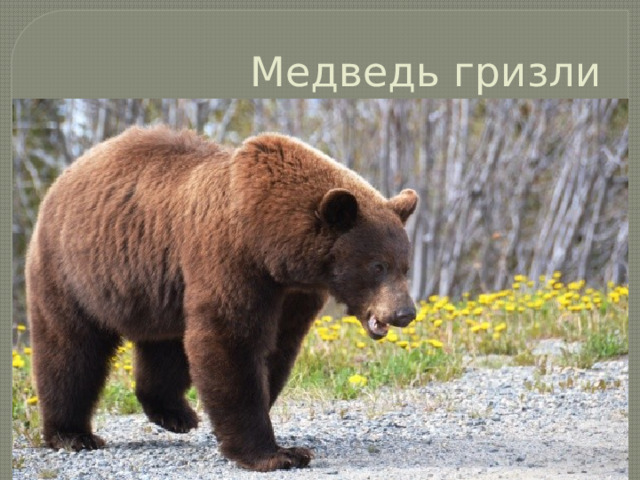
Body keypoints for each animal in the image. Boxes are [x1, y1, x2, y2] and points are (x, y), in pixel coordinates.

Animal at [25, 126, 418, 471]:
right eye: (377, 266)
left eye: (405, 266)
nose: (405, 312)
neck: (273, 246)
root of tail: (65, 176)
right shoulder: (231, 260)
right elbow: (231, 342)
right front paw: (277, 454)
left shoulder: (295, 293)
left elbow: (276, 349)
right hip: (72, 271)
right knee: (71, 348)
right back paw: (73, 434)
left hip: (158, 285)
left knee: (166, 346)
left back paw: (175, 413)